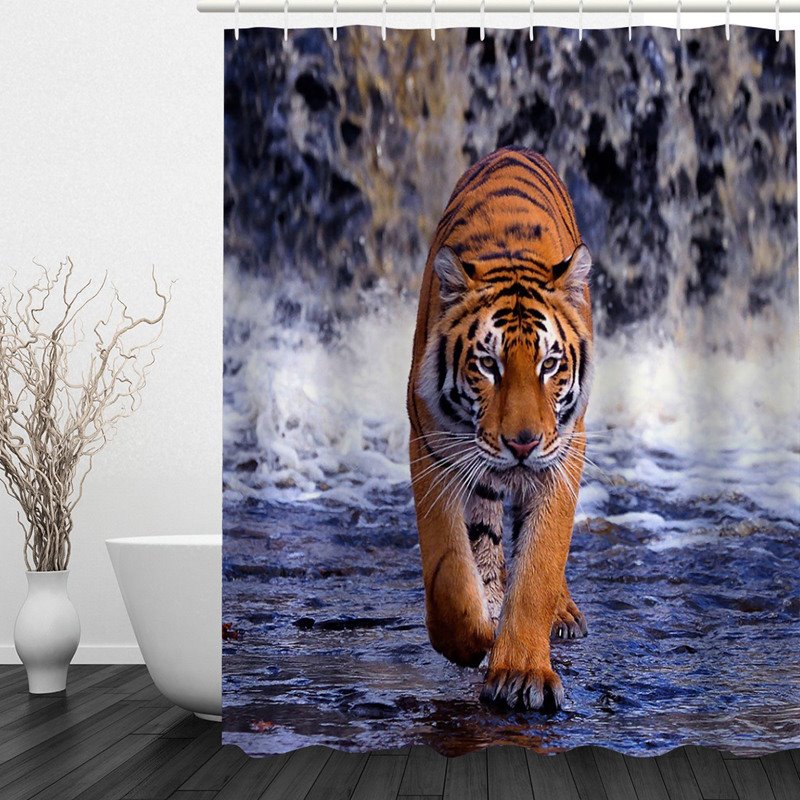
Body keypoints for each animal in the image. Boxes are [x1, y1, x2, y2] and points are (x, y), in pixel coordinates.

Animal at [406, 146, 593, 713]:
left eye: (550, 364)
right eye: (487, 365)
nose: (522, 443)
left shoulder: (563, 455)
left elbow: (539, 567)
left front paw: (521, 673)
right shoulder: (433, 451)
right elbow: (449, 570)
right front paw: (472, 640)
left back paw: (562, 613)